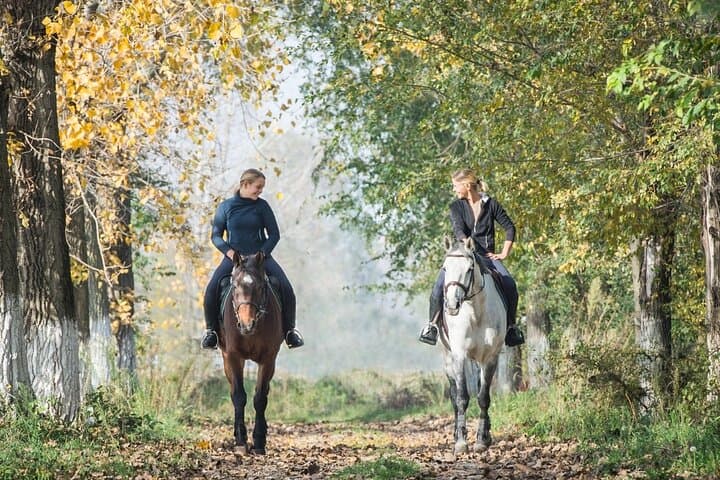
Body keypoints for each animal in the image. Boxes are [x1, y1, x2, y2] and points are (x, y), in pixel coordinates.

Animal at [218, 251, 283, 454]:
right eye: (235, 286)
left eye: (261, 287)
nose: (247, 325)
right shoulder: (233, 356)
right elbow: (239, 396)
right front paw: (241, 440)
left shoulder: (268, 359)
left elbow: (260, 397)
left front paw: (259, 441)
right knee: (233, 392)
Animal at [439, 237, 506, 455]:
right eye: (445, 268)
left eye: (469, 269)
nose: (452, 305)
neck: (475, 312)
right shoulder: (459, 356)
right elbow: (461, 397)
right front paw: (461, 442)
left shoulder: (490, 357)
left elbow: (483, 397)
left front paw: (482, 440)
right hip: (447, 358)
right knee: (454, 395)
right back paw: (455, 434)